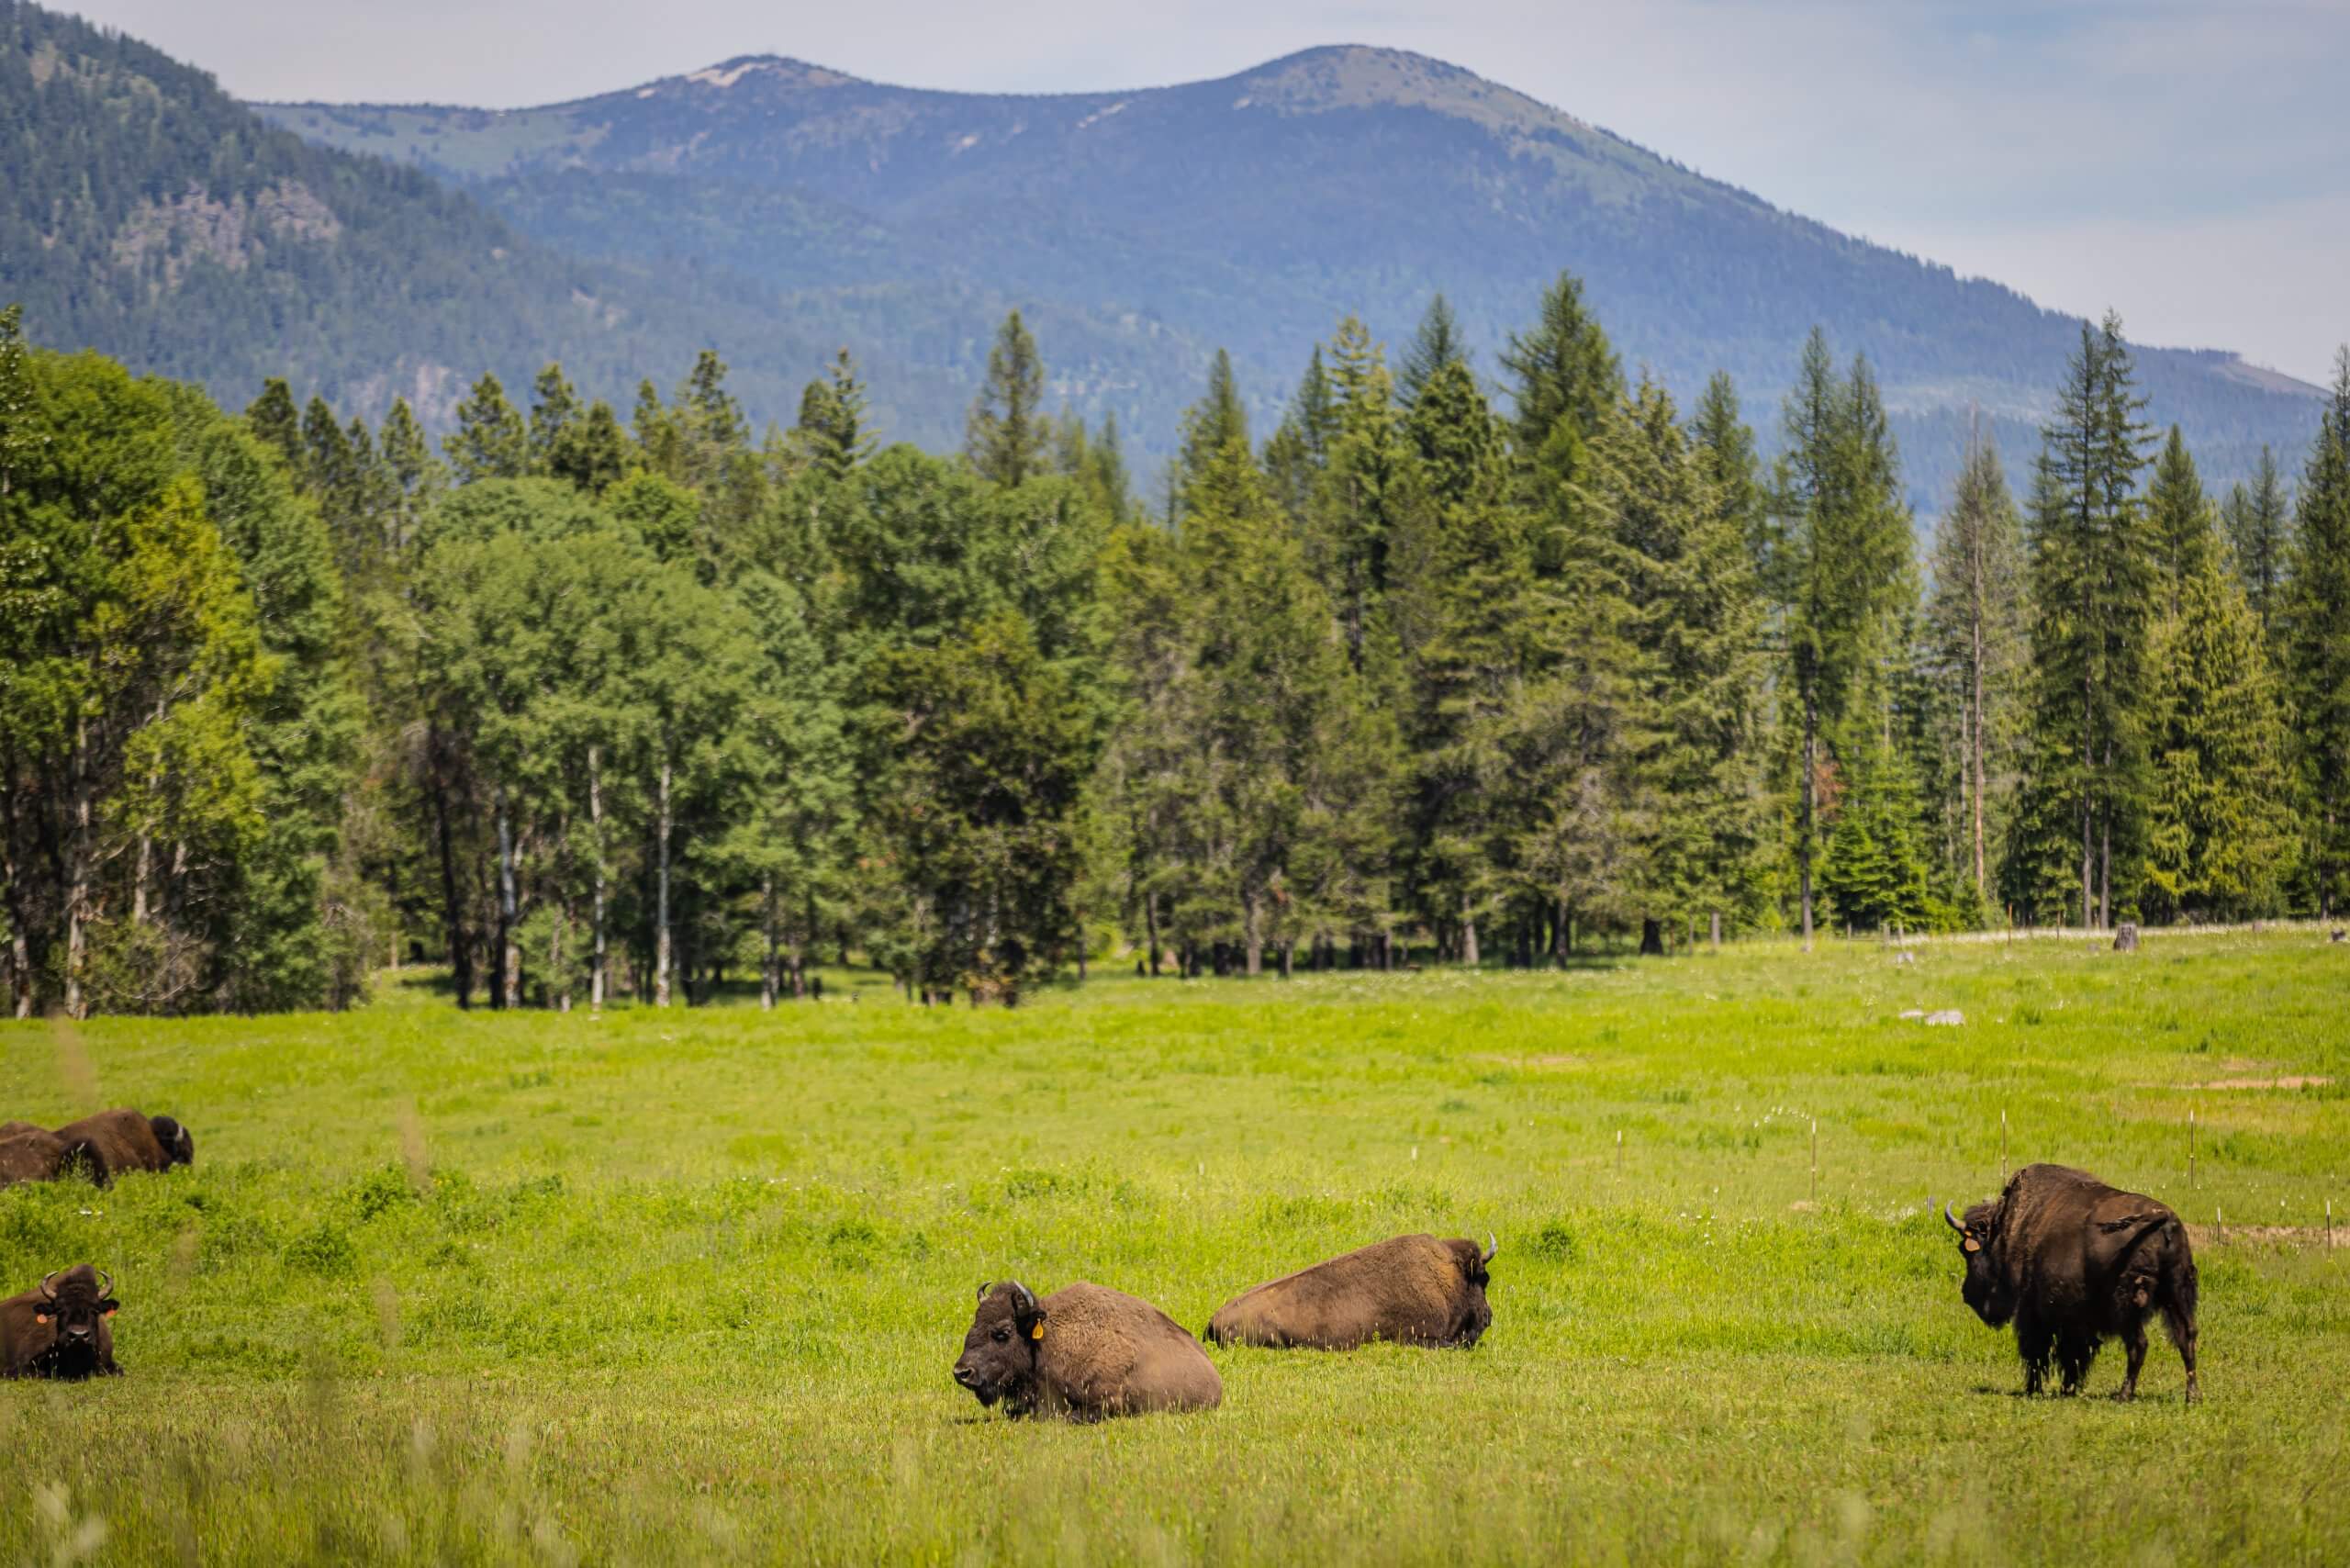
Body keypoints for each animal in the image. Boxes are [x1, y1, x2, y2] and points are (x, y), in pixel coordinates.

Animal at [1945, 1160, 2199, 1401]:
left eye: (1966, 1251)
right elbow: (2074, 1356)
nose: (1967, 1294)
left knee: (2139, 1345)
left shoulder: (2036, 1312)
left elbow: (2040, 1353)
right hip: (2178, 1294)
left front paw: (2034, 1390)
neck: (2008, 1228)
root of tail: (2162, 1218)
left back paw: (2124, 1395)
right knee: (2186, 1338)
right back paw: (2192, 1396)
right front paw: (2067, 1389)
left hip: (2128, 1307)